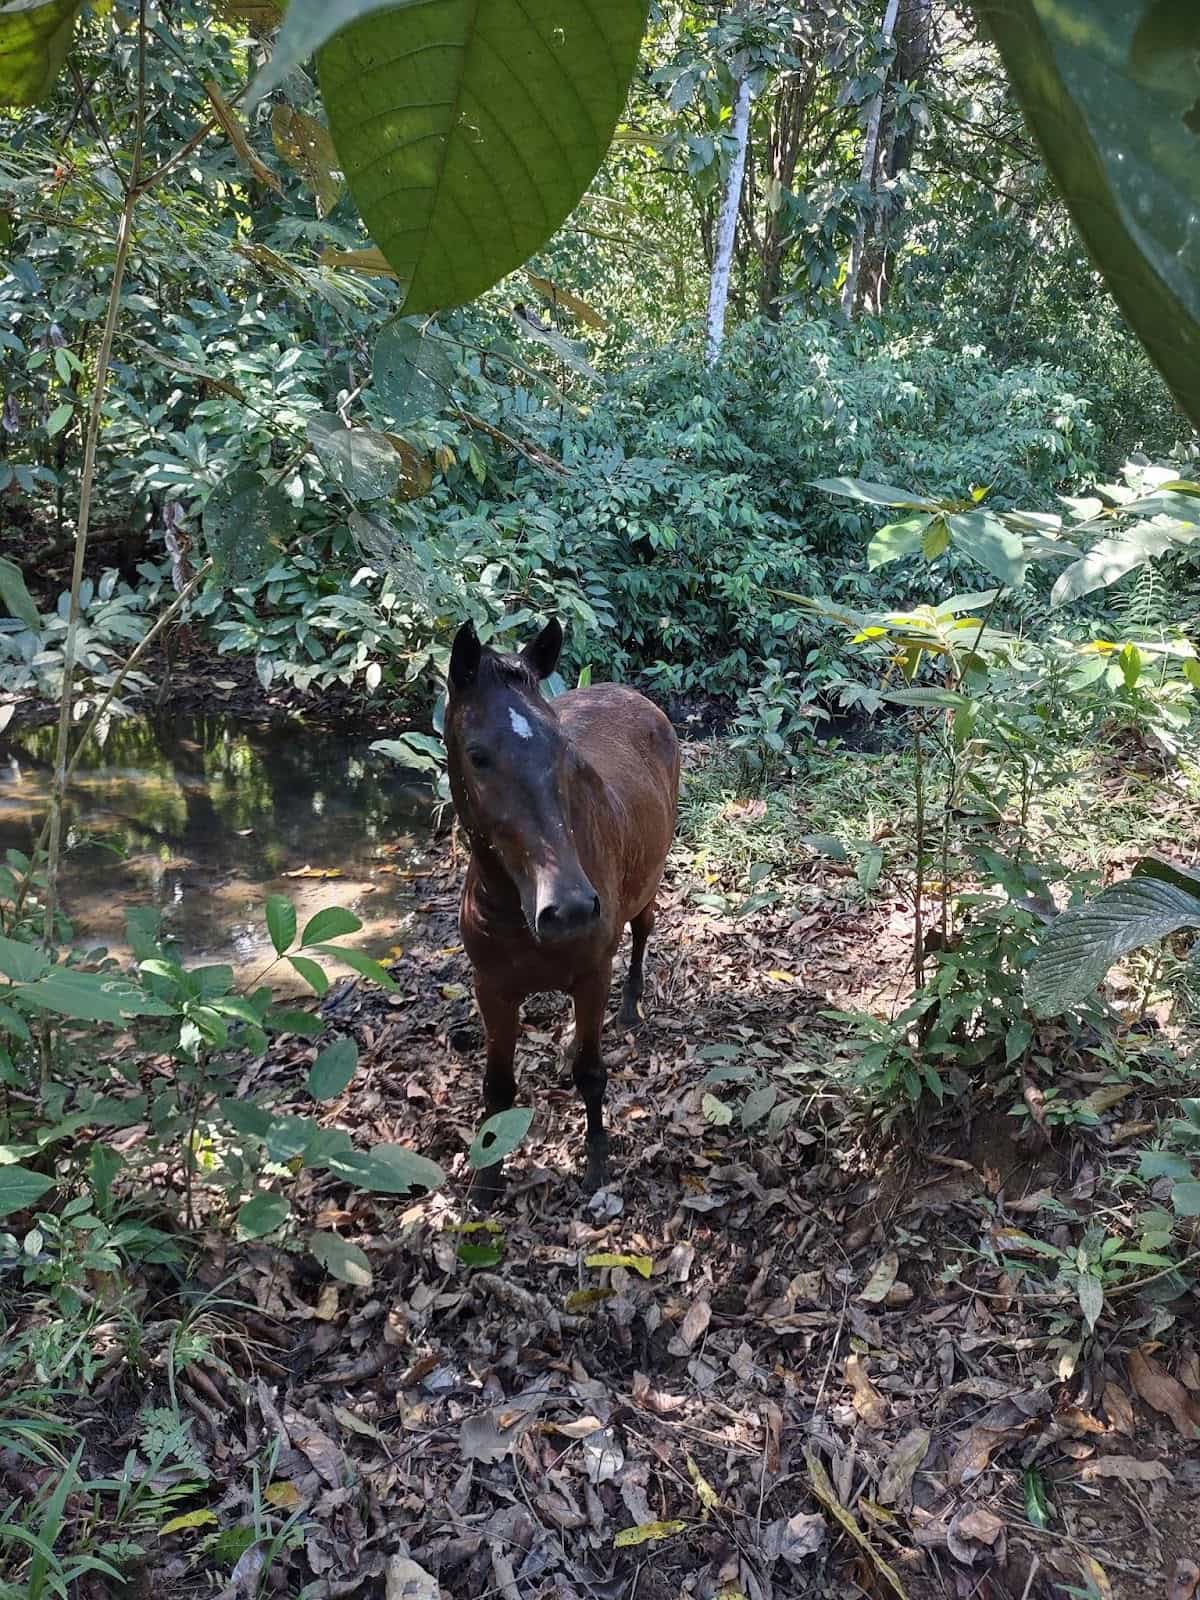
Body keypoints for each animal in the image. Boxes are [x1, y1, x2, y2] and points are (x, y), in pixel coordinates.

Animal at [444, 617, 680, 1198]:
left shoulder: (592, 976)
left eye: (562, 750)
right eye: (477, 755)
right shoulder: (492, 988)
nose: (569, 909)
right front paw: (487, 1177)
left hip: (646, 885)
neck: (515, 910)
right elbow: (498, 1086)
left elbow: (592, 1075)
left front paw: (596, 1161)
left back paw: (630, 1003)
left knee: (643, 930)